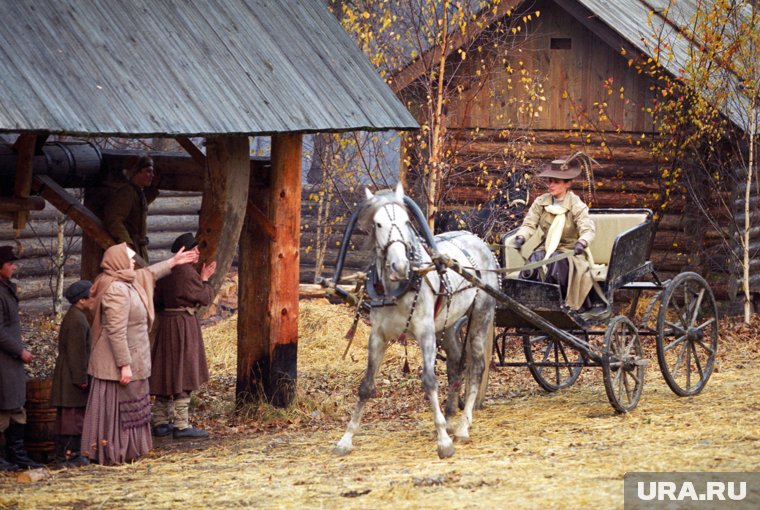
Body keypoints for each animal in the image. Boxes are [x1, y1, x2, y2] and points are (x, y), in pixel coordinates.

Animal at [332, 182, 498, 458]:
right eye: (378, 224)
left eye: (406, 221)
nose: (399, 266)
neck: (399, 287)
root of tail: (479, 241)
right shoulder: (377, 336)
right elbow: (366, 385)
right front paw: (346, 439)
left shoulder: (425, 333)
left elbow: (429, 381)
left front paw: (444, 442)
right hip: (448, 325)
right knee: (455, 362)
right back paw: (450, 417)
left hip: (480, 317)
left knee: (476, 367)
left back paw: (463, 426)